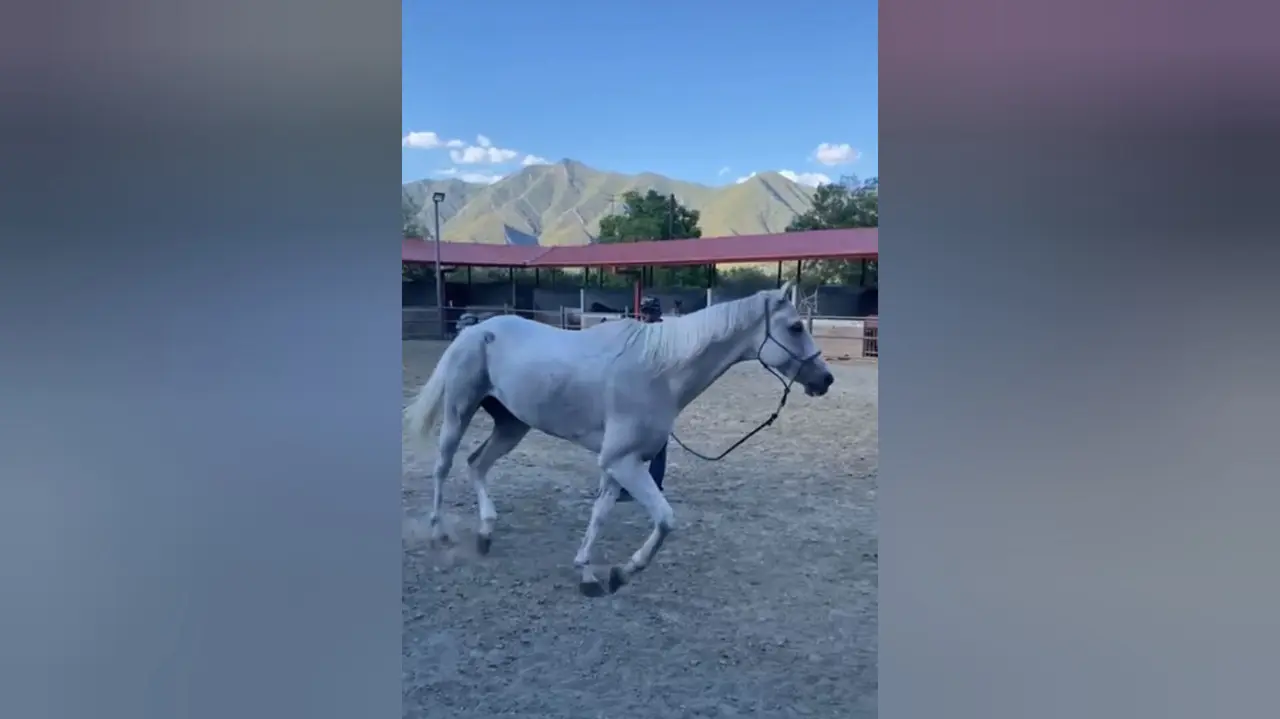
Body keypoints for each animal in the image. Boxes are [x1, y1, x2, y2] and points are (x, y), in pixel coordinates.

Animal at [404, 280, 834, 593]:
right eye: (796, 327)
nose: (826, 379)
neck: (659, 370)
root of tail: (476, 329)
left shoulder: (622, 464)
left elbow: (600, 514)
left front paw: (589, 573)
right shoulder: (622, 462)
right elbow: (665, 520)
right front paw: (623, 572)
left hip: (512, 425)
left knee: (477, 464)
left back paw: (485, 533)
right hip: (459, 411)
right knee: (444, 466)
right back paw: (439, 533)